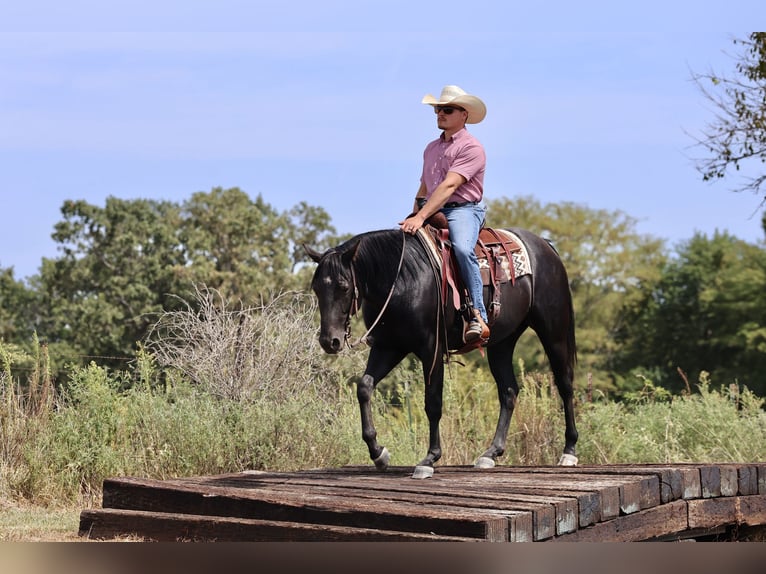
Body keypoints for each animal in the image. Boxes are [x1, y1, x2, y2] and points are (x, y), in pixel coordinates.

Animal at [305, 226, 578, 479]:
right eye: (316, 288)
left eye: (343, 286)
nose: (330, 341)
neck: (401, 279)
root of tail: (545, 246)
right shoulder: (388, 346)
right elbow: (364, 387)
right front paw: (378, 453)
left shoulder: (431, 348)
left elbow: (433, 403)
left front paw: (429, 459)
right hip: (502, 342)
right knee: (509, 391)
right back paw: (491, 453)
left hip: (553, 331)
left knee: (564, 384)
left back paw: (569, 451)